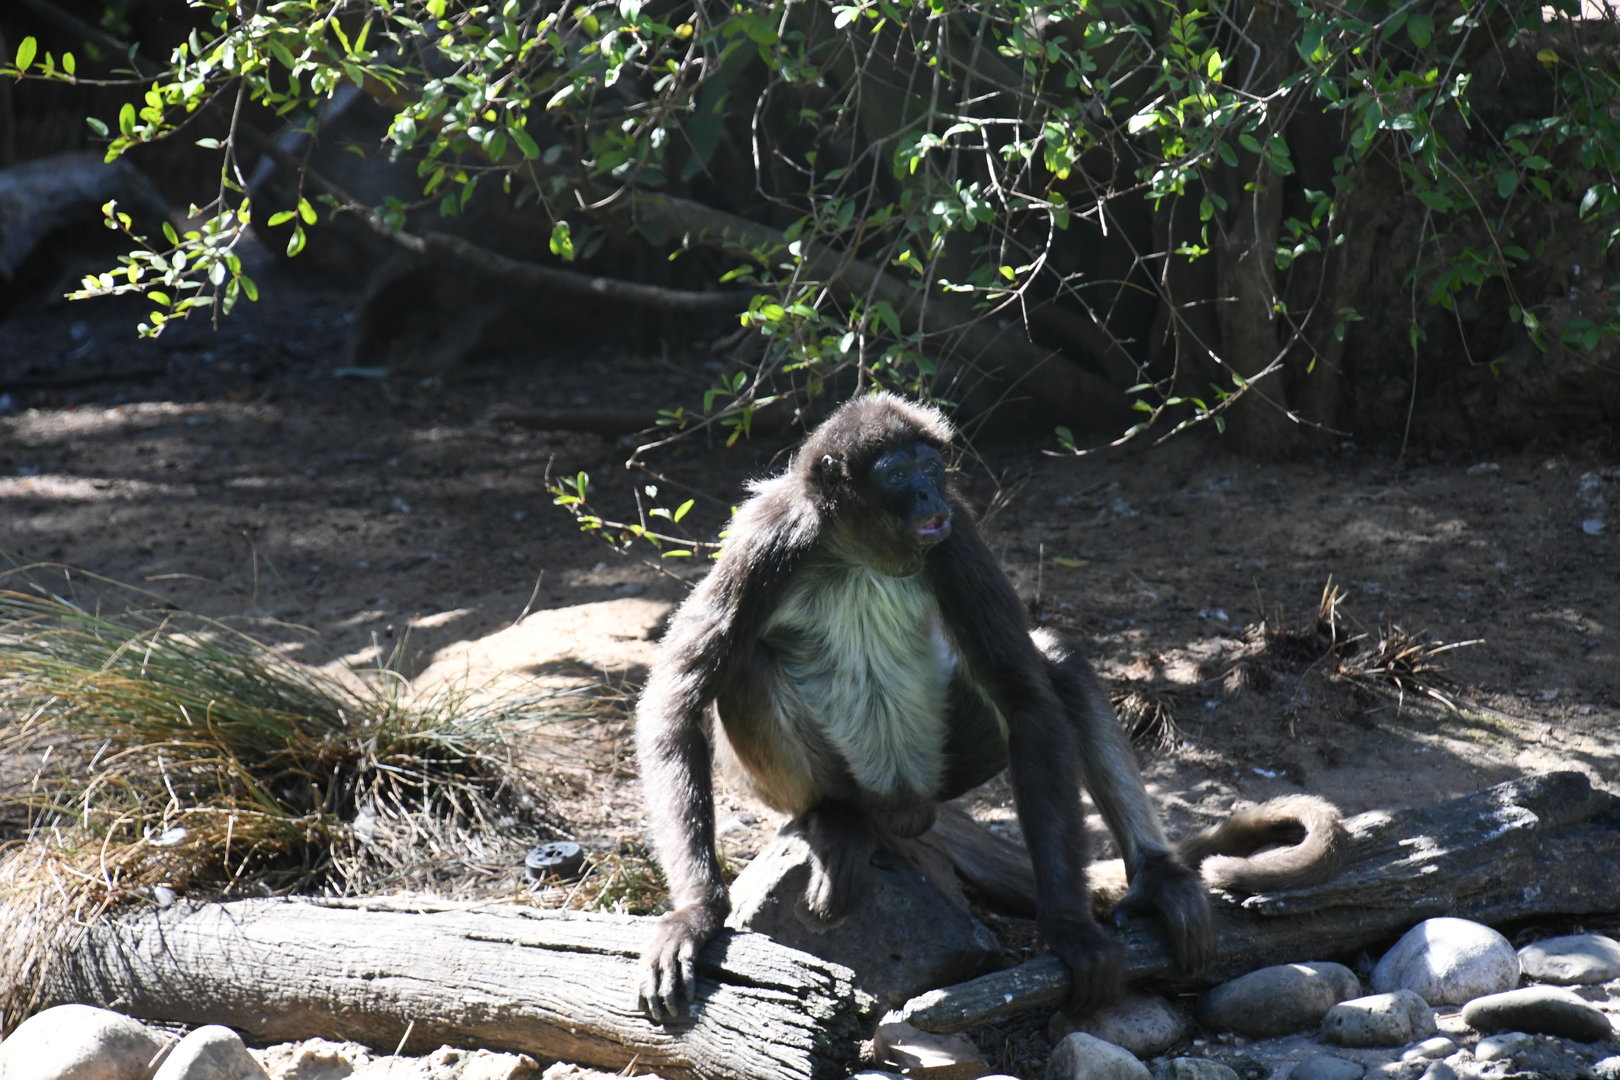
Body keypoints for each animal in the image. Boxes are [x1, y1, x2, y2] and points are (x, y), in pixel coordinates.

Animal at [634, 392, 1217, 1022]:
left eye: (932, 469)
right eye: (896, 474)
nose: (927, 497)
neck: (859, 556)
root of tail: (906, 809)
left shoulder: (955, 536)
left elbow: (1029, 700)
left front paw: (1068, 926)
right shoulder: (765, 541)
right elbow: (673, 704)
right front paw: (695, 914)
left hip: (946, 766)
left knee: (1057, 664)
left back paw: (1157, 878)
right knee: (745, 667)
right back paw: (838, 818)